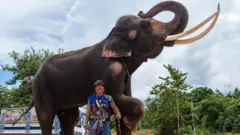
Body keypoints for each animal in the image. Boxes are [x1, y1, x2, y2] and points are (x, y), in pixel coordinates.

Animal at [12, 1, 220, 135]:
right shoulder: (109, 71)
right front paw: (130, 121)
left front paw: (127, 123)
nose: (142, 11)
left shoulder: (124, 74)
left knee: (69, 118)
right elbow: (125, 100)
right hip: (41, 88)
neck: (109, 36)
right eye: (146, 25)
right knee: (47, 118)